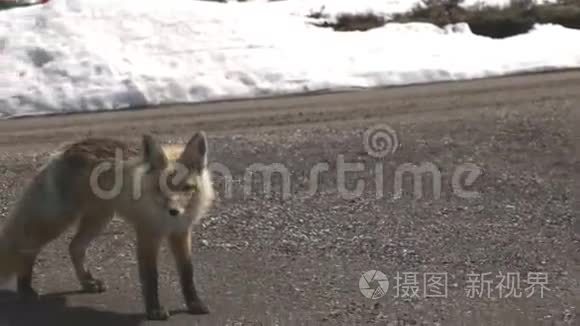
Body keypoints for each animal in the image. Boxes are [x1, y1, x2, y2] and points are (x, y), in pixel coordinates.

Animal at [0, 131, 215, 320]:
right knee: (27, 246)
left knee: (74, 247)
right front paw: (154, 310)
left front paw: (194, 304)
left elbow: (187, 273)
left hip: (99, 219)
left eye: (187, 188)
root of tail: (66, 149)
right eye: (161, 187)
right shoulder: (147, 232)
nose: (174, 212)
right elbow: (150, 276)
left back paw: (87, 282)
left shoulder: (181, 232)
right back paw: (25, 288)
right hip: (59, 220)